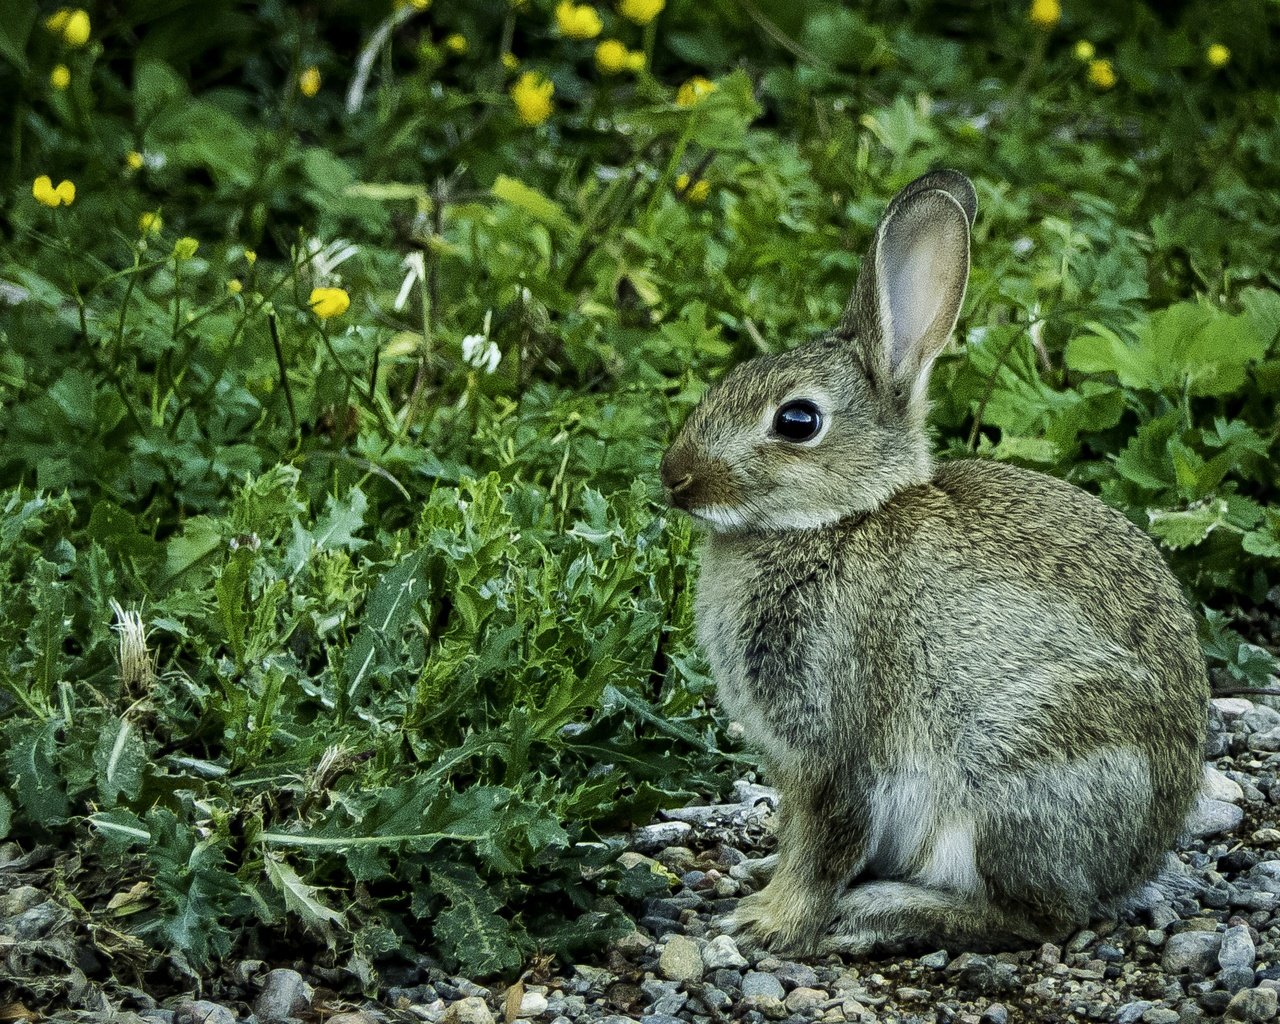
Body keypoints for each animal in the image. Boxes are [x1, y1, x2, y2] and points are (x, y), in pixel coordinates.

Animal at [660, 171, 1208, 957]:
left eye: (797, 421)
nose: (675, 478)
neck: (839, 521)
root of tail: (1137, 859)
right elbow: (797, 833)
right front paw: (763, 887)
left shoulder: (837, 747)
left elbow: (824, 840)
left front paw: (769, 922)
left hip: (1014, 787)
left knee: (1039, 918)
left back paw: (881, 912)